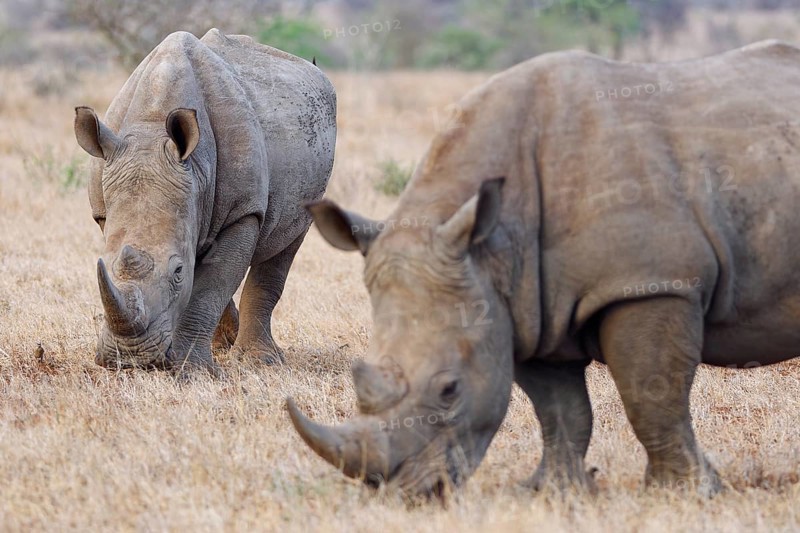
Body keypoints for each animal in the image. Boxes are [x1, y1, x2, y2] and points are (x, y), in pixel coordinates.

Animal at [74, 29, 336, 373]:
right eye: (105, 262)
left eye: (178, 271)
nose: (132, 359)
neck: (151, 126)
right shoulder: (105, 210)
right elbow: (213, 282)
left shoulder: (243, 210)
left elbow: (209, 288)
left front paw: (193, 370)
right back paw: (225, 346)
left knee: (286, 243)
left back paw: (261, 360)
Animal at [288, 40, 800, 496]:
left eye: (450, 389)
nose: (404, 493)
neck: (490, 249)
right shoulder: (524, 303)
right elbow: (560, 409)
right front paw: (551, 490)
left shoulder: (650, 283)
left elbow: (651, 396)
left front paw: (685, 492)